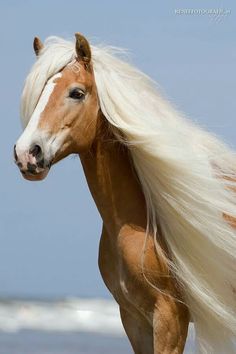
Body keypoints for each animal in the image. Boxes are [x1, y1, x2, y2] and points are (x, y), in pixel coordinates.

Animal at [13, 32, 236, 352]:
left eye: (76, 93)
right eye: (41, 91)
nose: (26, 153)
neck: (137, 225)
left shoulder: (171, 318)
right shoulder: (133, 318)